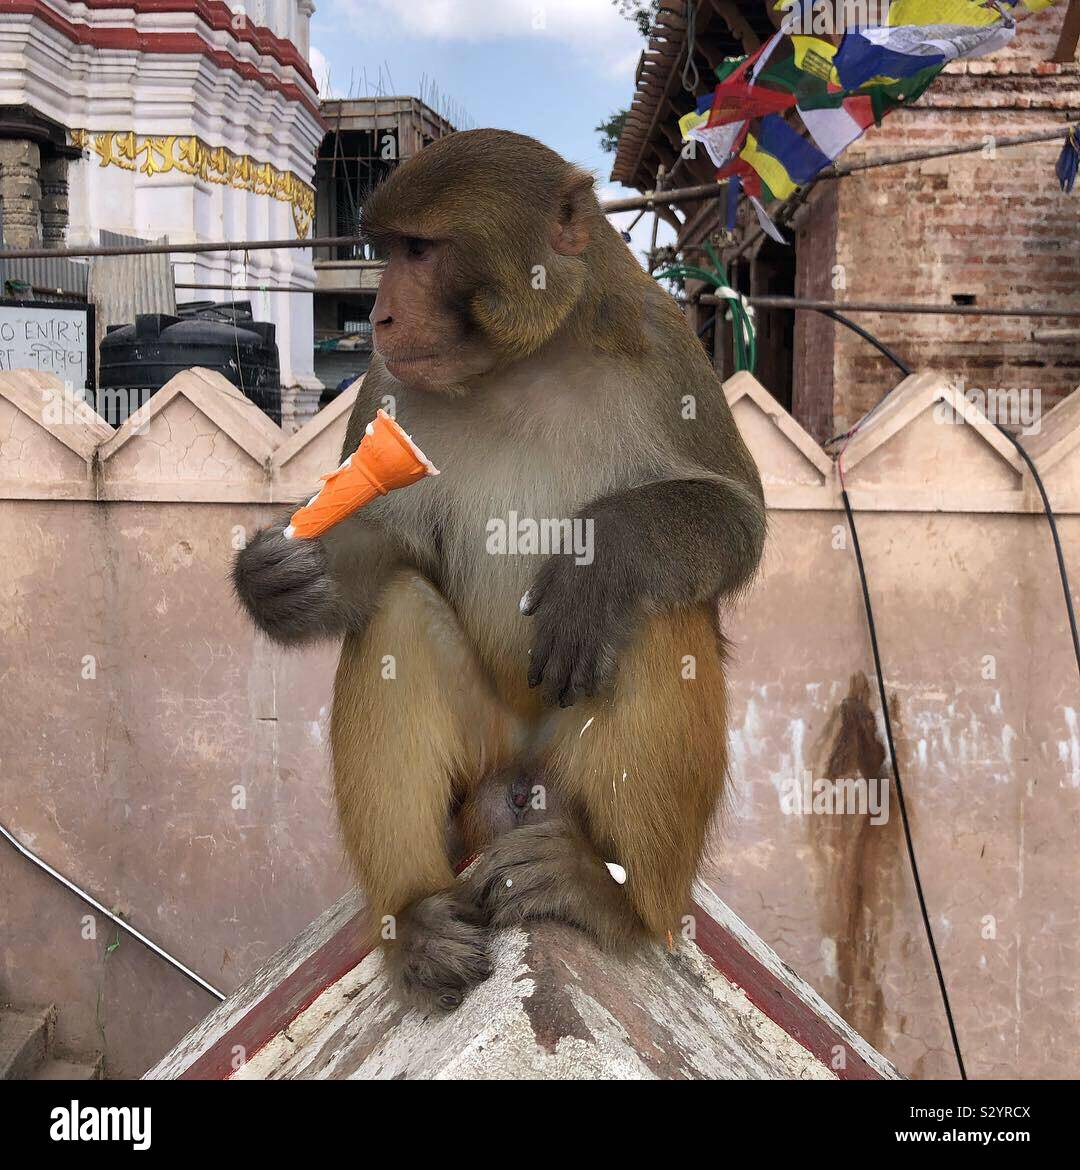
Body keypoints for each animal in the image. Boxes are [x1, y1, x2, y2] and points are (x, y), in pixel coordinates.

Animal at [233, 129, 766, 1012]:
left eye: (420, 250)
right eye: (387, 251)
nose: (378, 313)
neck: (527, 360)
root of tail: (518, 787)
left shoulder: (666, 348)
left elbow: (740, 522)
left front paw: (602, 555)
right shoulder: (386, 385)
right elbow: (395, 551)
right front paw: (282, 582)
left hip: (568, 770)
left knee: (659, 612)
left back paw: (615, 899)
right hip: (484, 759)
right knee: (397, 613)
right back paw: (416, 916)